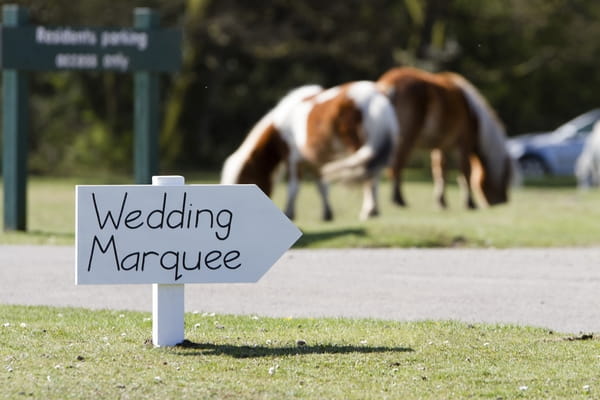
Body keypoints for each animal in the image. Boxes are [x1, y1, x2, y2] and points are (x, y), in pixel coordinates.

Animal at [220, 80, 398, 220]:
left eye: (242, 181)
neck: (279, 128)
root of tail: (377, 96)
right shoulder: (316, 163)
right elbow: (322, 187)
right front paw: (327, 214)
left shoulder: (292, 158)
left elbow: (293, 188)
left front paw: (289, 213)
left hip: (359, 146)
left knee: (369, 176)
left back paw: (369, 211)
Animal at [378, 67, 512, 208]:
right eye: (506, 177)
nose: (503, 202)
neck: (475, 118)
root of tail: (388, 85)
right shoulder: (464, 143)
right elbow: (465, 171)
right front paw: (469, 203)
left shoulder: (442, 146)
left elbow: (441, 171)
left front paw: (441, 202)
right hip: (406, 136)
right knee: (397, 165)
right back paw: (399, 199)